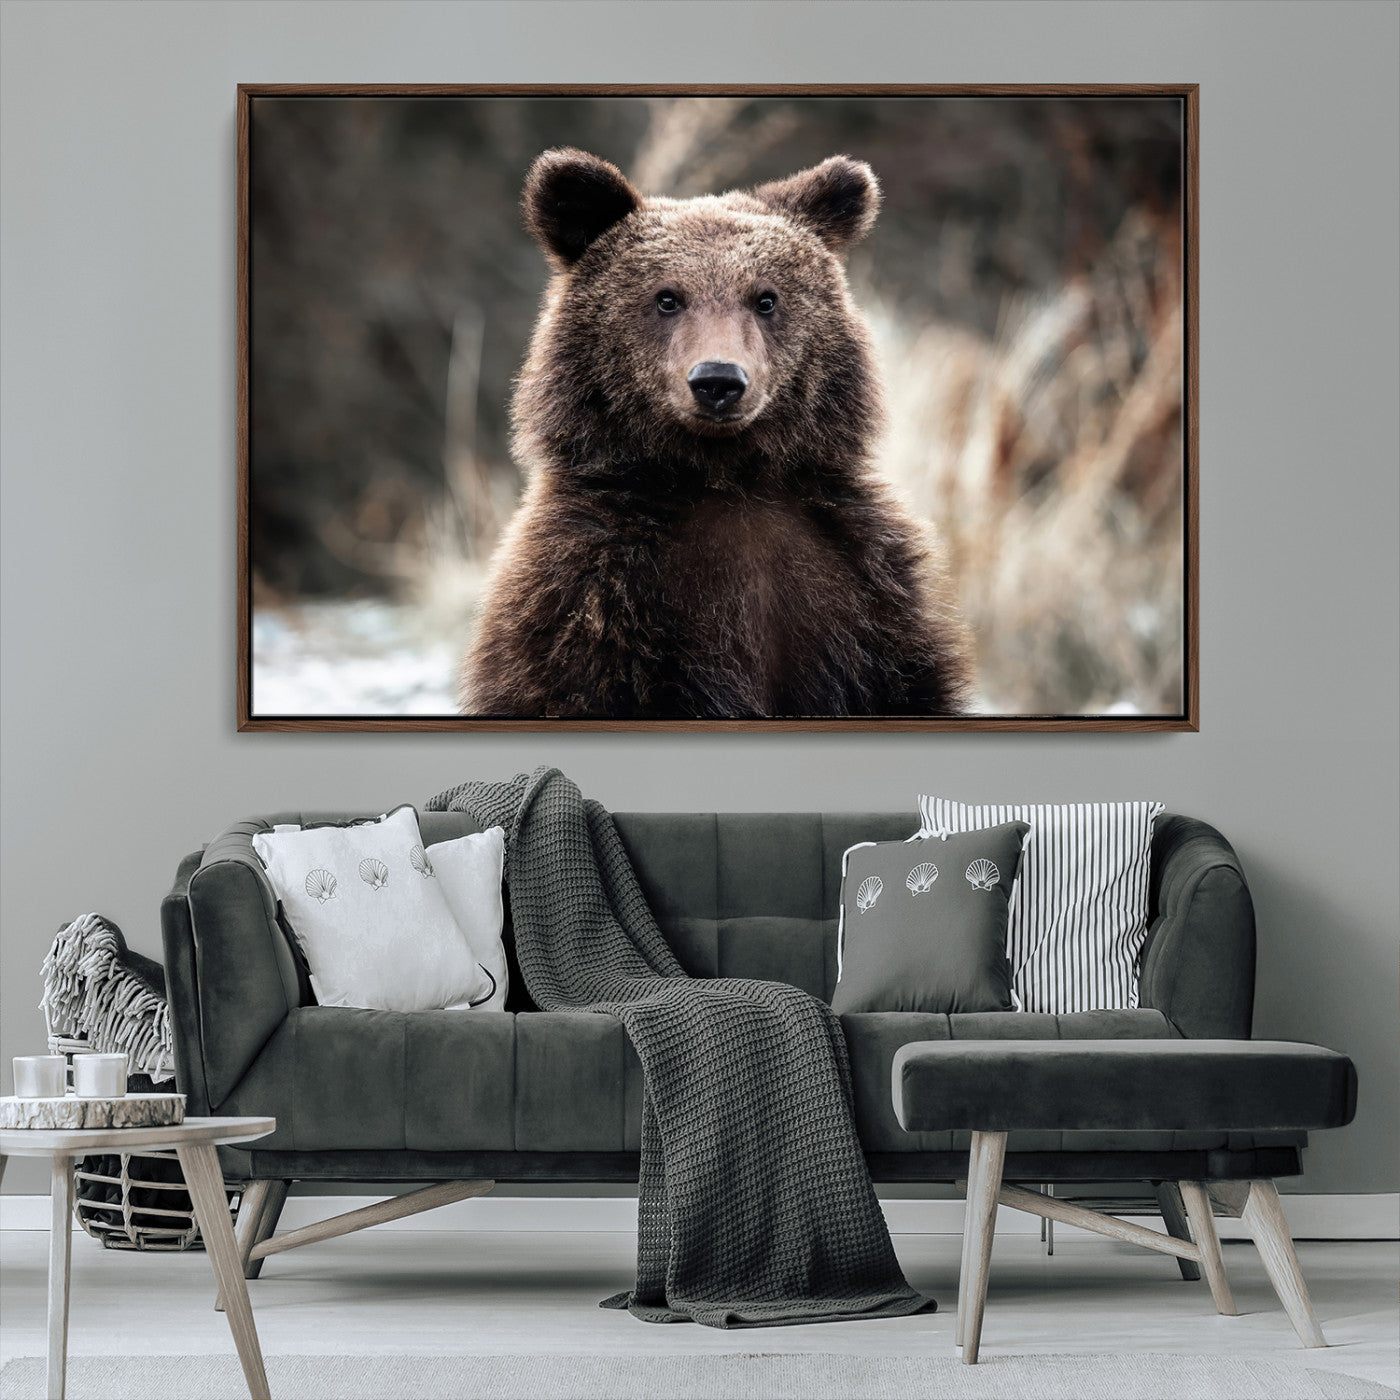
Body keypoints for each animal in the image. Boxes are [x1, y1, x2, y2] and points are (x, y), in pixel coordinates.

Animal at [462, 148, 972, 719]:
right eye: (667, 298)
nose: (718, 381)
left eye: (766, 298)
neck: (725, 478)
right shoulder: (590, 600)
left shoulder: (864, 593)